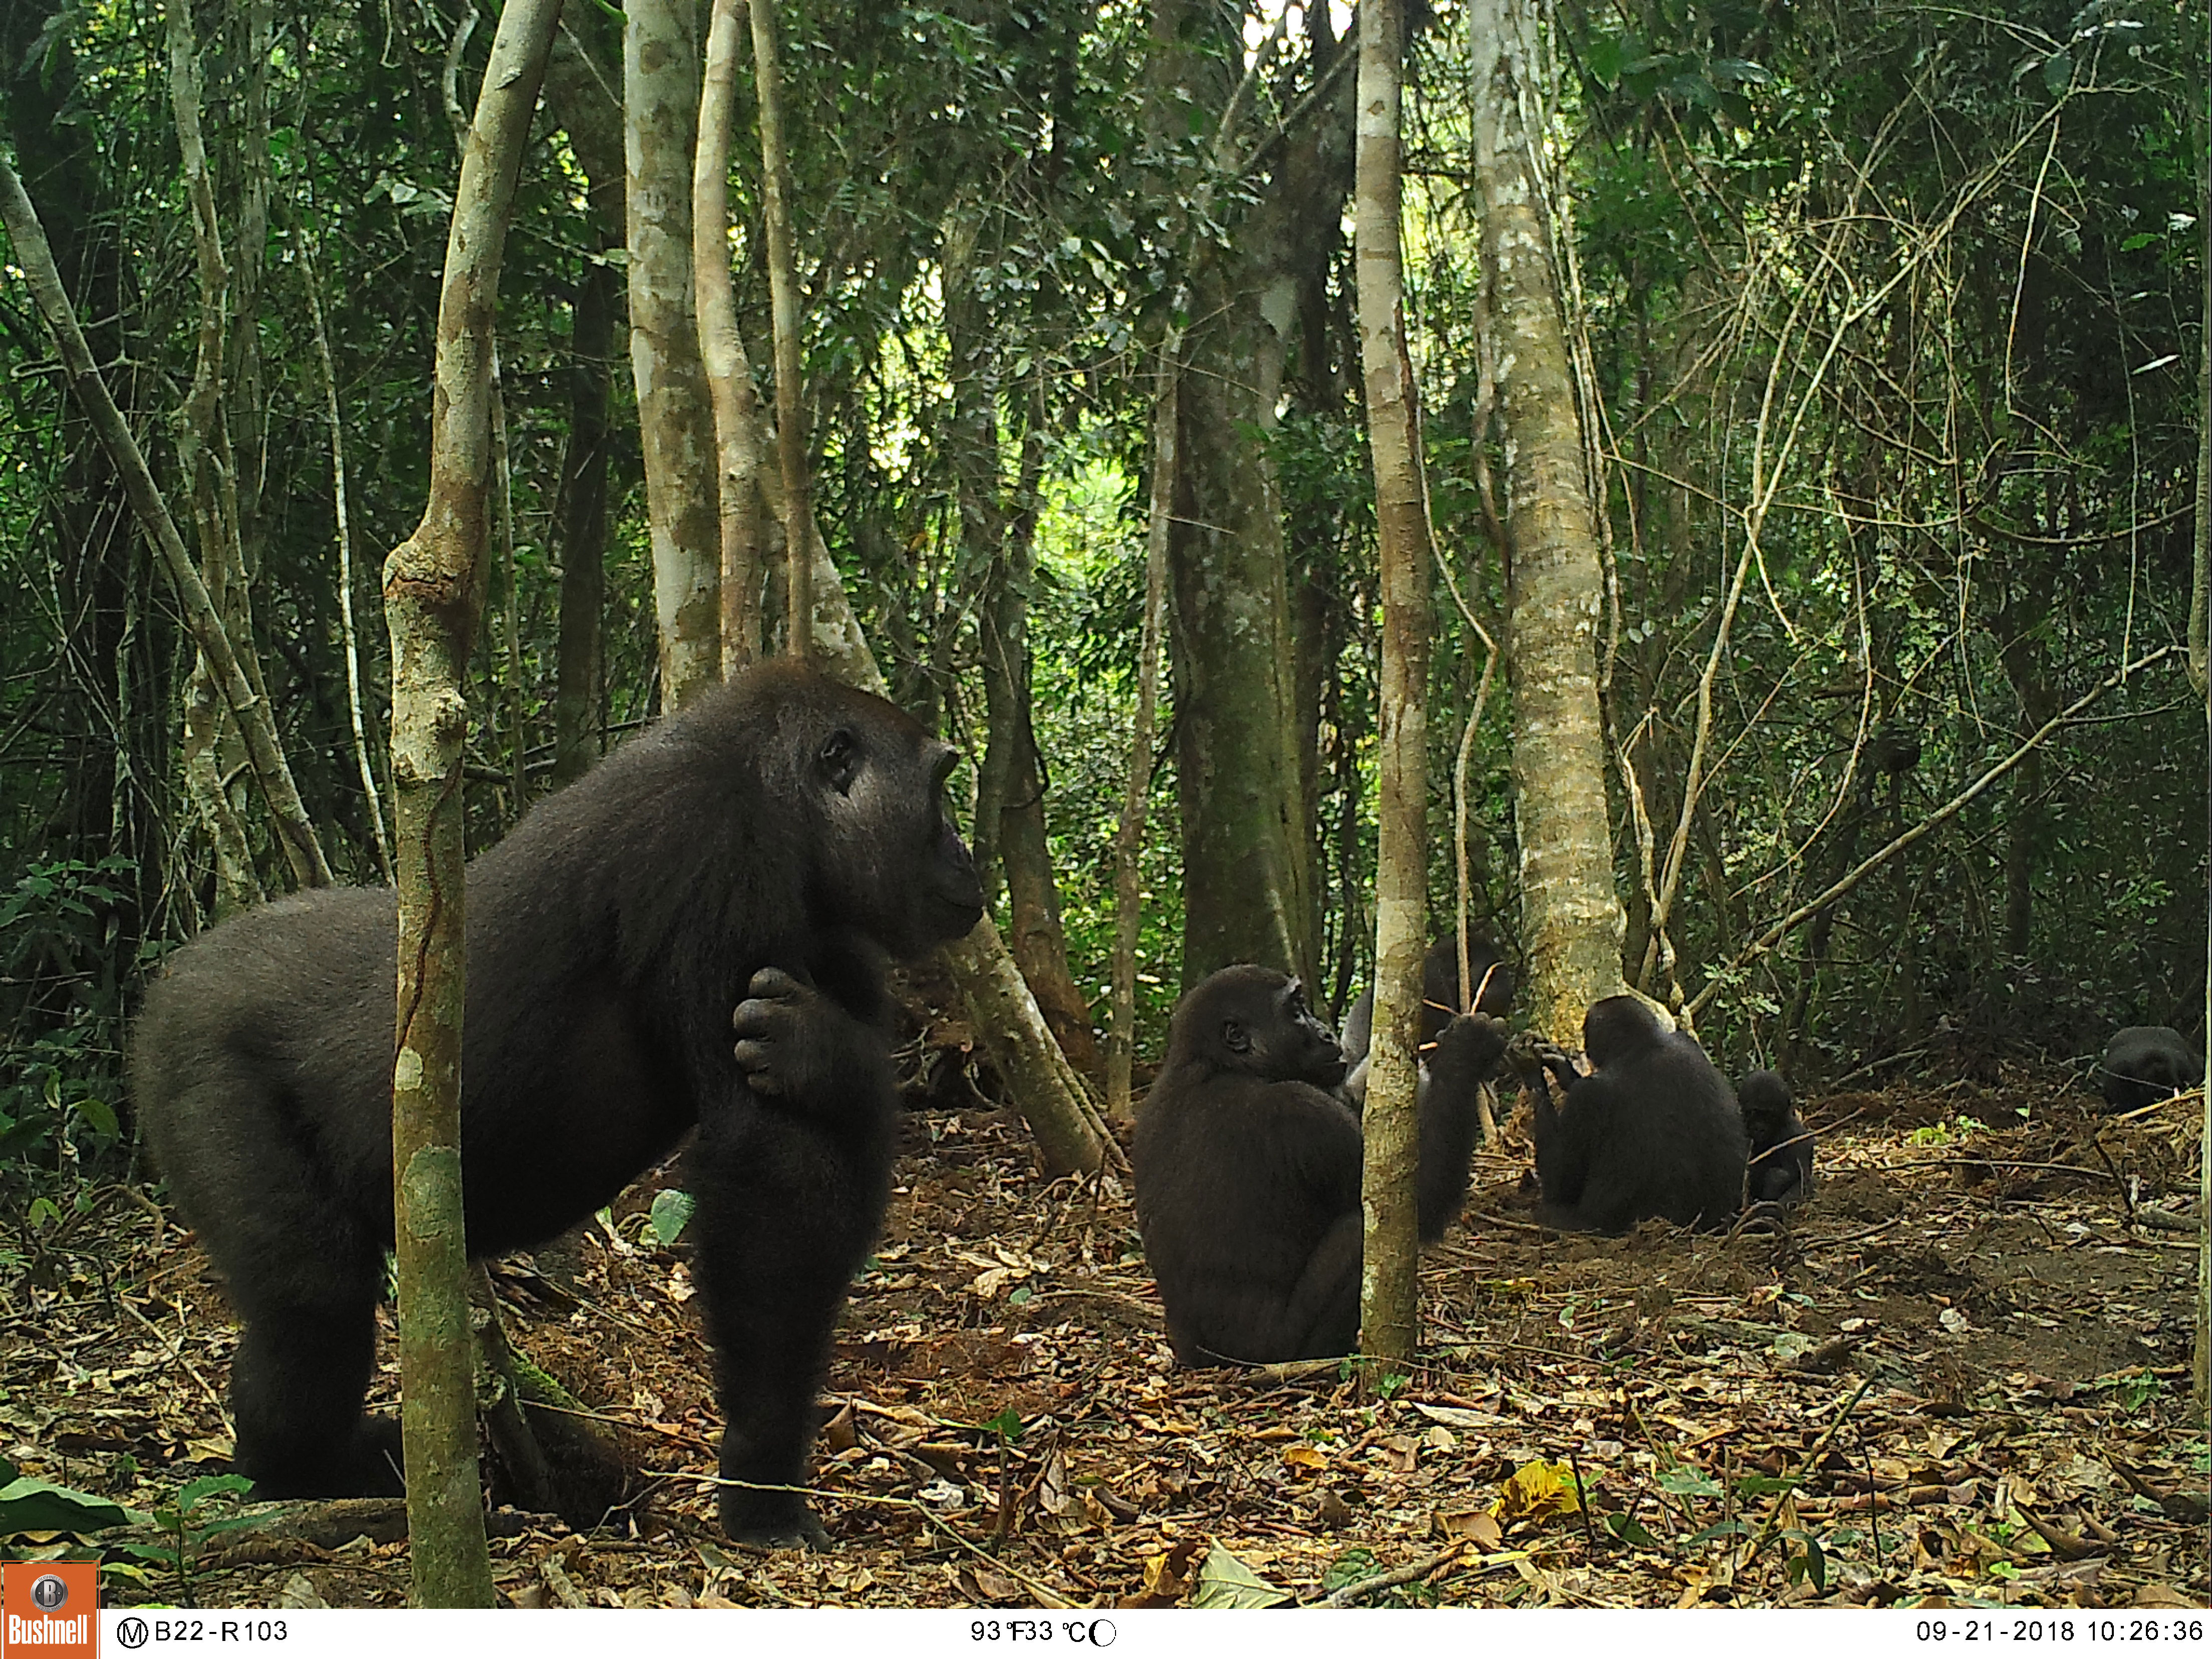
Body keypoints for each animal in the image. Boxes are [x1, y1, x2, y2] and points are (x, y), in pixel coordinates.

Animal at [127, 659, 977, 1548]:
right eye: (939, 788)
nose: (966, 854)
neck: (778, 793)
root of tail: (165, 985)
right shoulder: (710, 851)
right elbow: (775, 1172)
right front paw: (762, 1479)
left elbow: (839, 1130)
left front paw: (824, 1049)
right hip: (194, 1057)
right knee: (310, 1301)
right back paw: (299, 1469)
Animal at [1132, 969, 1513, 1371]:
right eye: (1296, 1011)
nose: (1327, 1032)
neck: (1217, 1064)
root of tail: (1203, 1362)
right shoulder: (1307, 1114)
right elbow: (1410, 1204)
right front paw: (1466, 1052)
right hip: (1273, 1351)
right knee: (1358, 1235)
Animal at [1504, 995, 1743, 1238]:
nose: (1586, 1046)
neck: (1645, 1046)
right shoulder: (1688, 1041)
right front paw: (1561, 1065)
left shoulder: (1587, 1096)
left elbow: (1560, 1180)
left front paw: (1528, 1064)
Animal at [1743, 1070, 1814, 1212]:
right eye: (1754, 1112)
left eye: (1769, 1115)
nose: (1760, 1128)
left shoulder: (1796, 1137)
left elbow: (1802, 1183)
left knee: (1779, 1176)